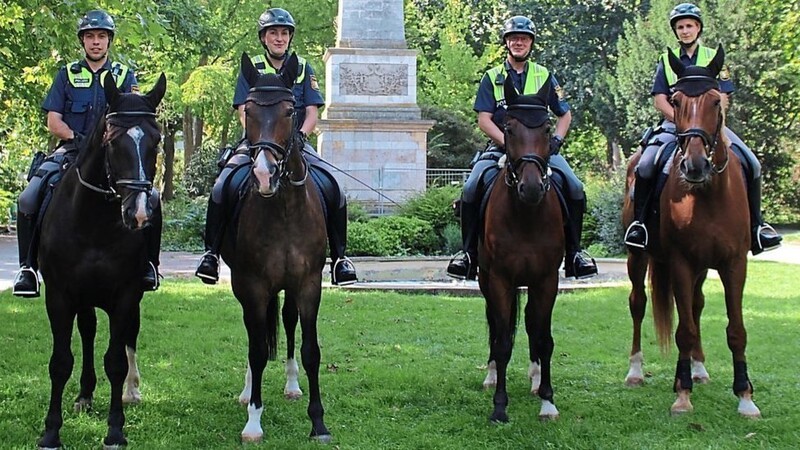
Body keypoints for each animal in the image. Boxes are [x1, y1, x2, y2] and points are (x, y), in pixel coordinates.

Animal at [36, 72, 166, 448]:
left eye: (157, 139)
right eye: (111, 138)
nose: (139, 214)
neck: (93, 222)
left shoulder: (125, 295)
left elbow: (116, 361)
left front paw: (115, 430)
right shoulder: (60, 296)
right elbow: (60, 362)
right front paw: (51, 431)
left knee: (126, 338)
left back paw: (130, 392)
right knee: (88, 331)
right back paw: (84, 394)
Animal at [219, 53, 332, 442]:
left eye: (288, 111)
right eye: (250, 111)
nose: (264, 174)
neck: (283, 207)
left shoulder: (309, 284)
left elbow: (311, 350)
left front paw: (318, 422)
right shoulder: (252, 286)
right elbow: (255, 350)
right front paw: (254, 420)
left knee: (286, 321)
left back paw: (292, 385)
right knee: (253, 334)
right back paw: (247, 391)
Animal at [620, 46, 760, 418]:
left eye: (714, 100)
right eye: (676, 99)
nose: (695, 166)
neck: (707, 194)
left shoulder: (734, 264)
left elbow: (736, 330)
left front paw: (745, 396)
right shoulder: (680, 262)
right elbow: (683, 330)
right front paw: (682, 395)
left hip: (702, 267)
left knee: (696, 306)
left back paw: (698, 369)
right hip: (638, 257)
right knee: (638, 304)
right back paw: (636, 371)